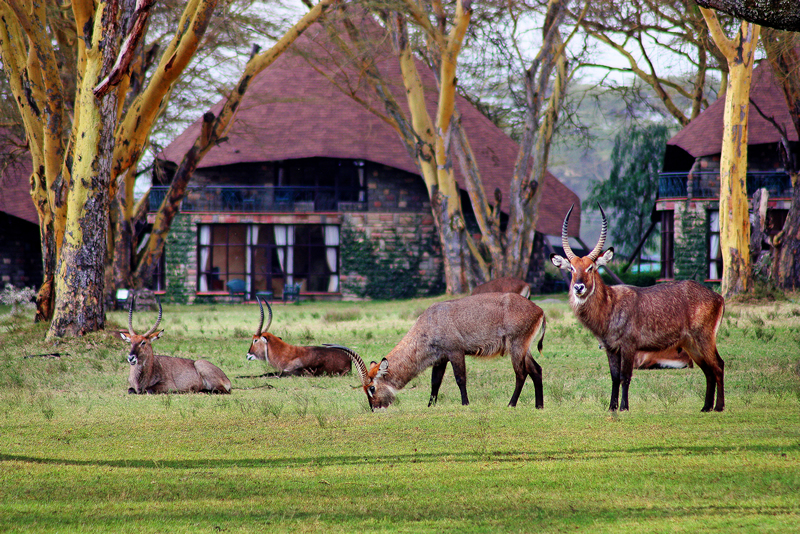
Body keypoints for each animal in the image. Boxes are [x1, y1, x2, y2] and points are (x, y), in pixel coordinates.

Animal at [324, 296, 544, 412]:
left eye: (372, 388)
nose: (375, 409)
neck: (430, 322)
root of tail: (538, 309)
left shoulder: (455, 352)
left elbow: (460, 378)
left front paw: (465, 404)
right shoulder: (440, 359)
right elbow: (435, 383)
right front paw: (430, 406)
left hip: (516, 346)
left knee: (521, 374)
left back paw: (511, 404)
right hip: (524, 348)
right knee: (536, 370)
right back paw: (539, 406)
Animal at [552, 207, 724, 412]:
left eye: (591, 267)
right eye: (571, 268)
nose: (578, 287)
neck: (609, 305)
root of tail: (718, 297)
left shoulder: (628, 346)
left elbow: (625, 377)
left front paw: (624, 407)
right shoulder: (611, 348)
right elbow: (614, 377)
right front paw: (611, 407)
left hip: (704, 338)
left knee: (718, 365)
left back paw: (719, 407)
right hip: (691, 344)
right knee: (708, 370)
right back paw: (706, 408)